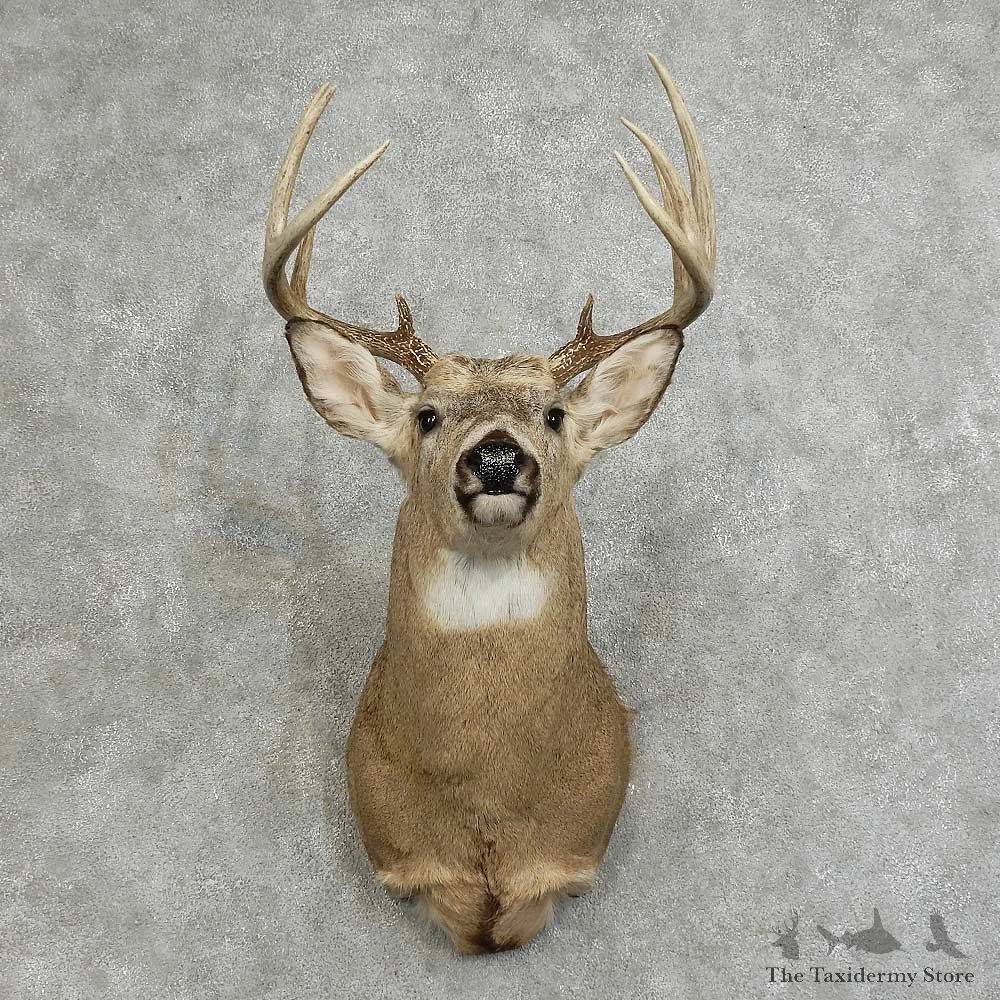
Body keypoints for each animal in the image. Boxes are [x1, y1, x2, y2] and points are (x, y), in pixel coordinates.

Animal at [262, 53, 716, 954]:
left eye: (555, 416)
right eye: (428, 416)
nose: (499, 456)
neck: (488, 813)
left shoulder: (569, 855)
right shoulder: (406, 859)